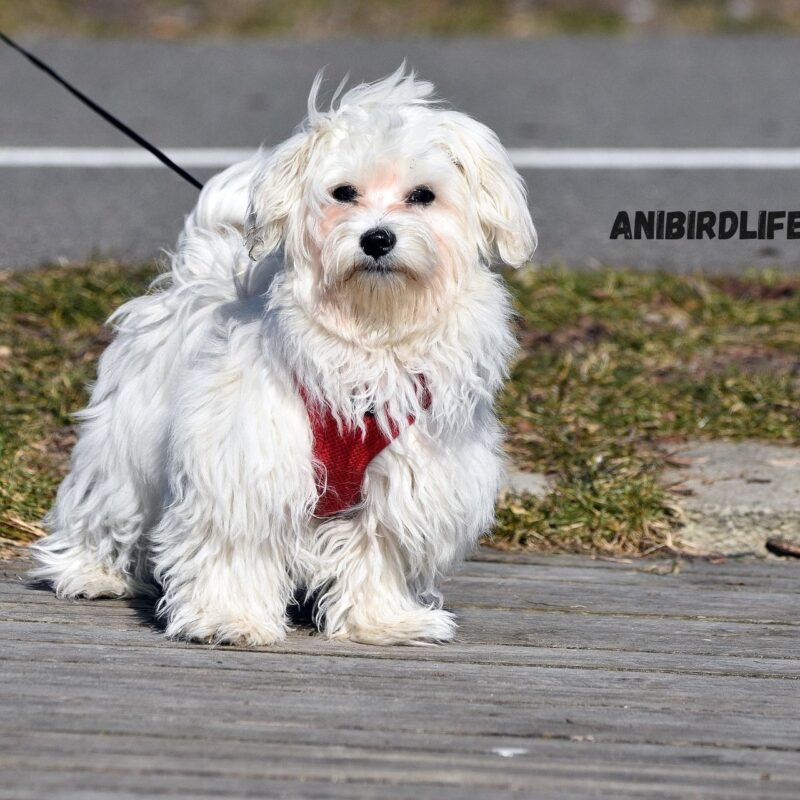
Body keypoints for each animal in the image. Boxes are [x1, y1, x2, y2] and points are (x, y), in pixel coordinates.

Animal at [31, 65, 536, 648]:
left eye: (422, 195)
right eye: (344, 193)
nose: (377, 238)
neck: (370, 332)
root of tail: (197, 274)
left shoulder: (407, 477)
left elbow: (377, 550)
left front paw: (381, 620)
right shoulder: (245, 462)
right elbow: (236, 544)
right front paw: (229, 618)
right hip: (123, 440)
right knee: (109, 502)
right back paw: (90, 571)